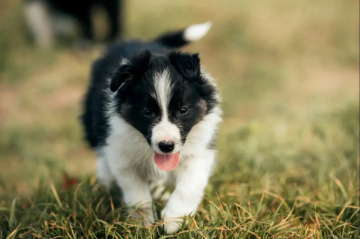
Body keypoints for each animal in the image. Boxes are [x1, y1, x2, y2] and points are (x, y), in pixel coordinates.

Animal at [82, 21, 222, 234]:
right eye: (147, 112)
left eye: (183, 110)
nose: (166, 146)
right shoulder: (122, 156)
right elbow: (138, 197)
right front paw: (144, 224)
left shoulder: (199, 152)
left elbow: (189, 186)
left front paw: (172, 220)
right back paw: (105, 181)